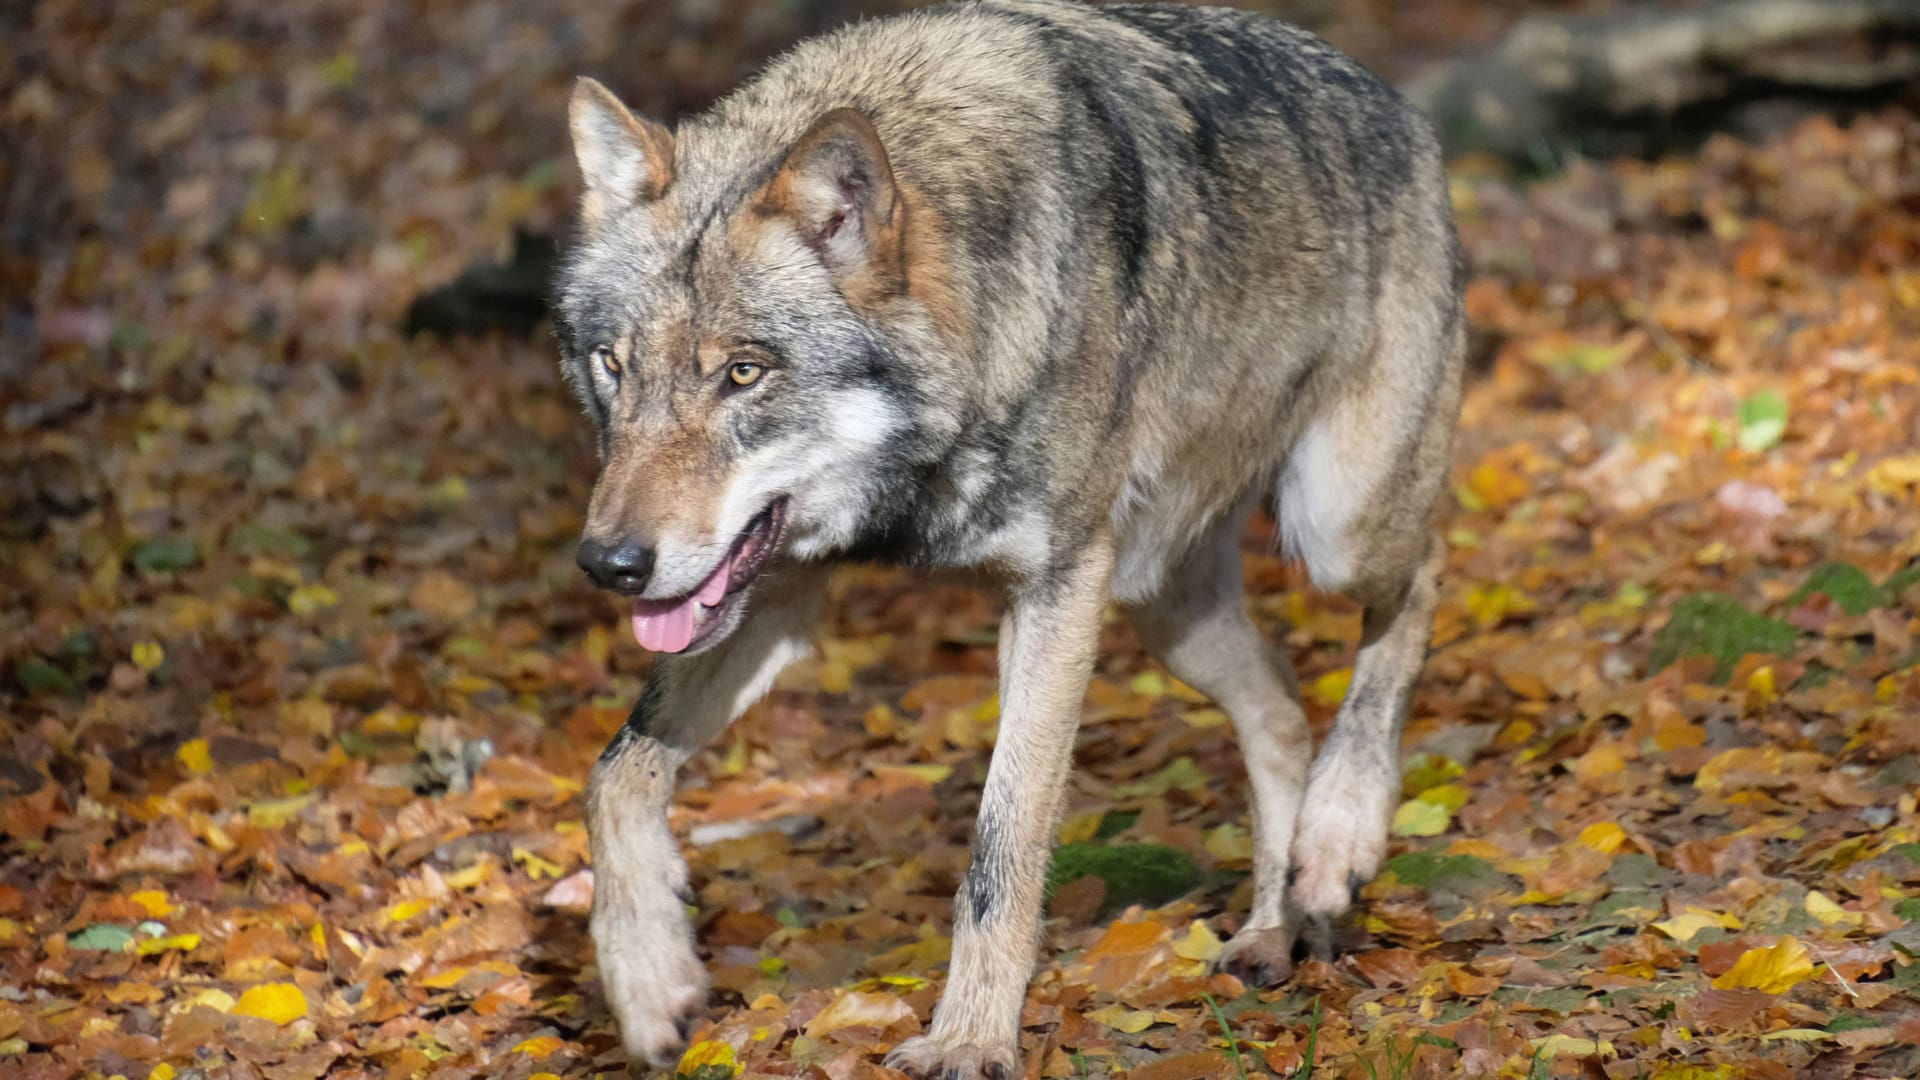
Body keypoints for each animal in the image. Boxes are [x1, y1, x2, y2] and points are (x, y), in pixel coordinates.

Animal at [549, 2, 1459, 1068]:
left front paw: (969, 1040)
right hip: (1166, 608)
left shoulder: (1057, 592)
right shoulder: (776, 590)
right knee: (1279, 707)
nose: (610, 565)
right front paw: (648, 980)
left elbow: (1003, 843)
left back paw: (1340, 835)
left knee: (1425, 576)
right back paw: (1277, 923)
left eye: (742, 372)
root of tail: (1393, 101)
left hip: (1334, 528)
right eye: (612, 365)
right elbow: (614, 773)